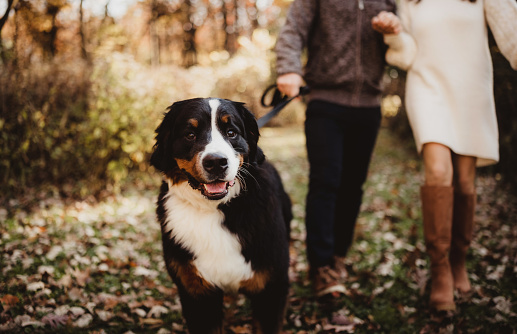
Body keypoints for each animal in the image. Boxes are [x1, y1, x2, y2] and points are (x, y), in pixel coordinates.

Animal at [151, 98, 292, 332]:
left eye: (231, 132)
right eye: (190, 134)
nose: (216, 162)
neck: (215, 209)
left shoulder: (271, 288)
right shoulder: (197, 293)